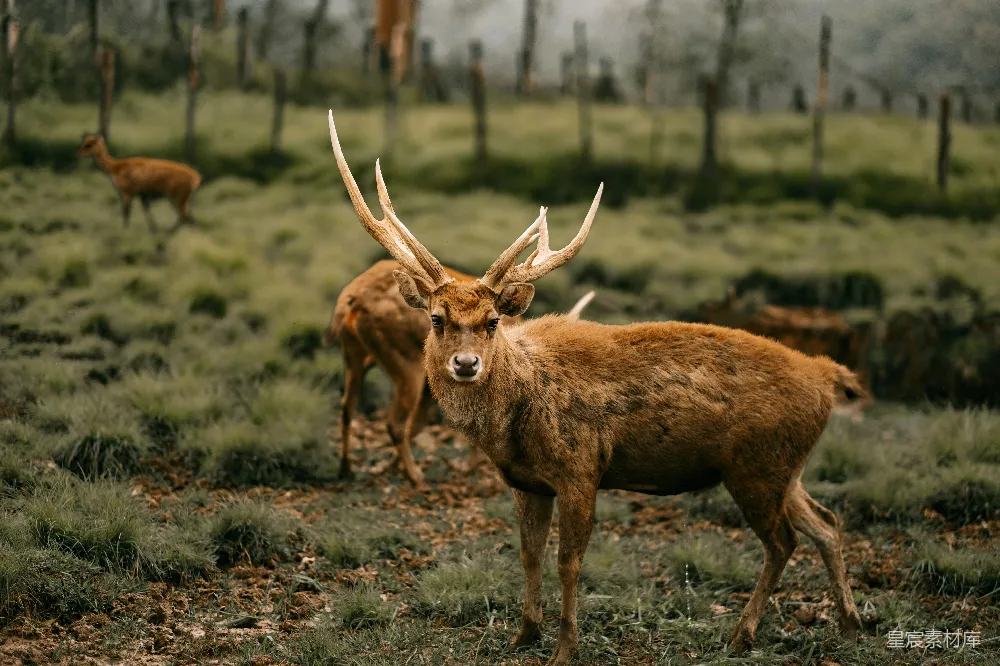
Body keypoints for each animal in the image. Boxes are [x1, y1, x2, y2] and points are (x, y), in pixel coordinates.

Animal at [323, 257, 595, 486]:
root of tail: (351, 300)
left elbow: (420, 422)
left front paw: (388, 466)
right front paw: (467, 467)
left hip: (354, 352)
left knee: (347, 406)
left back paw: (346, 468)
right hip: (406, 362)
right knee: (393, 422)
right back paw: (416, 477)